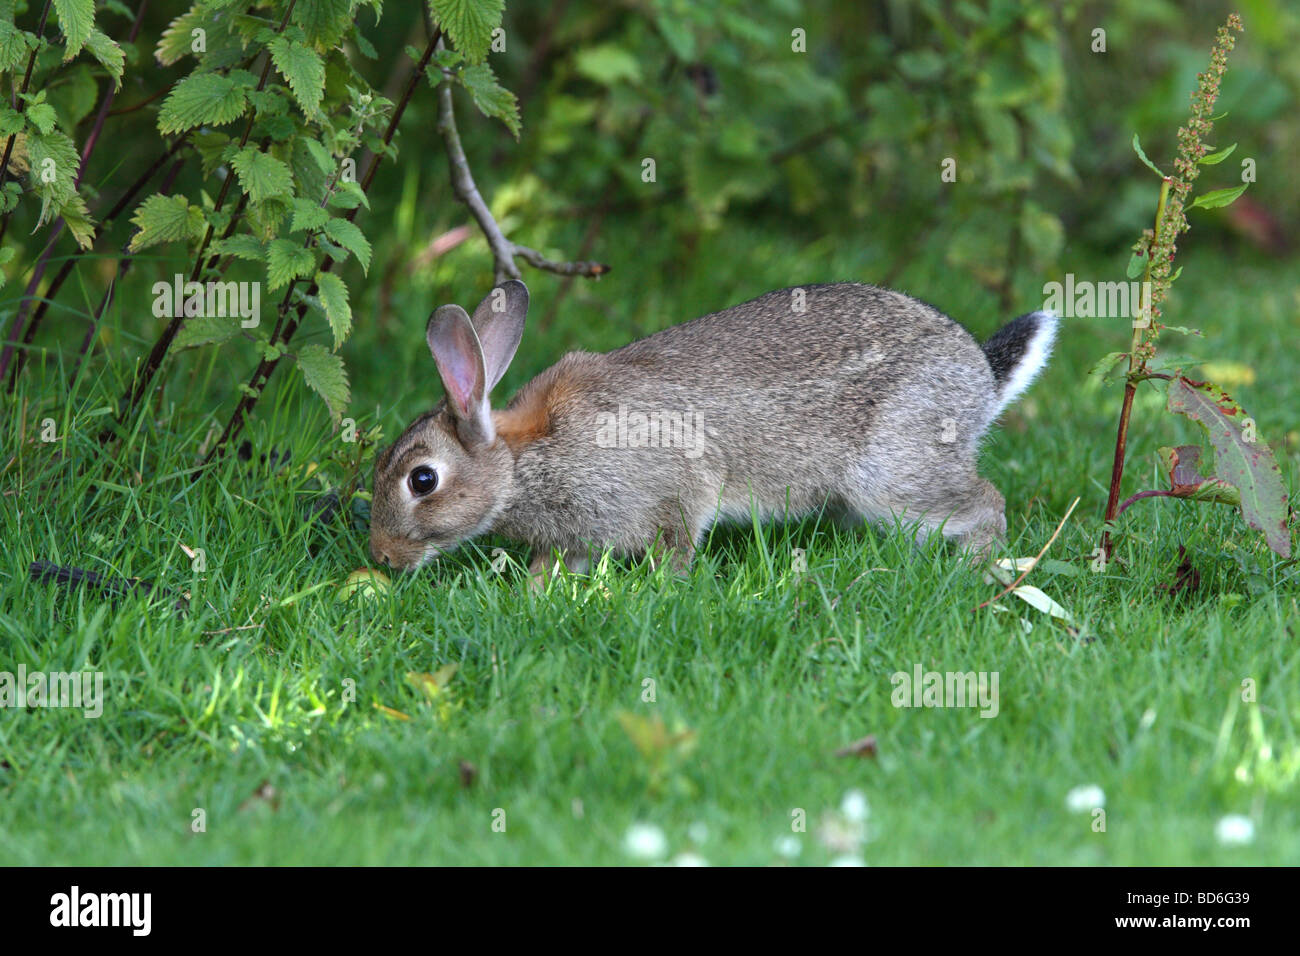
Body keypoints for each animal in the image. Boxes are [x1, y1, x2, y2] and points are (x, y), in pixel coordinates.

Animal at [366, 277, 1055, 574]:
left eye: (422, 480)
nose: (381, 556)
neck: (522, 460)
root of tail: (979, 375)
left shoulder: (673, 490)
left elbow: (676, 542)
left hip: (894, 473)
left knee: (983, 501)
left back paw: (978, 569)